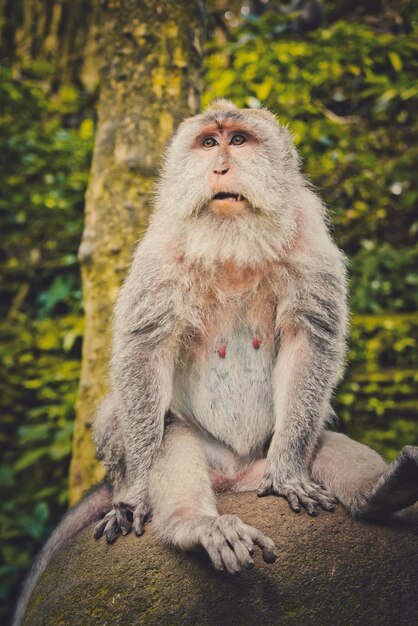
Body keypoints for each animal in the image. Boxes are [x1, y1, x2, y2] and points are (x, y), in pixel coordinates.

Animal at [12, 98, 418, 624]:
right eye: (209, 143)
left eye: (238, 140)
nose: (220, 166)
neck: (232, 244)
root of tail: (236, 479)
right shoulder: (161, 252)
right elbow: (144, 351)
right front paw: (139, 494)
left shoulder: (308, 239)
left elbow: (310, 339)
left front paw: (291, 473)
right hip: (205, 462)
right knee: (169, 436)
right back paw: (197, 524)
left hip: (262, 462)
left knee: (324, 442)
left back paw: (382, 490)